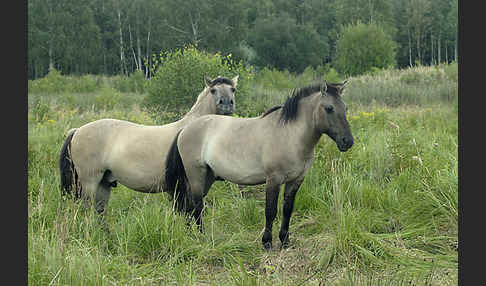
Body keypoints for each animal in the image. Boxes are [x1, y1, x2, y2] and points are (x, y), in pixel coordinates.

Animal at [58, 75, 239, 216]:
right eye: (213, 90)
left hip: (103, 184)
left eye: (233, 89)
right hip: (90, 182)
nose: (227, 105)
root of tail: (77, 130)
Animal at [164, 80, 354, 250]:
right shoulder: (273, 179)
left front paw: (285, 241)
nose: (348, 141)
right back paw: (201, 236)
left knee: (189, 206)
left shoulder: (296, 180)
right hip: (196, 176)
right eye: (329, 108)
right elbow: (270, 211)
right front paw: (267, 243)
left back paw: (190, 234)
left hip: (207, 177)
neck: (290, 135)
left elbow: (287, 210)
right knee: (197, 206)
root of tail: (184, 129)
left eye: (345, 108)